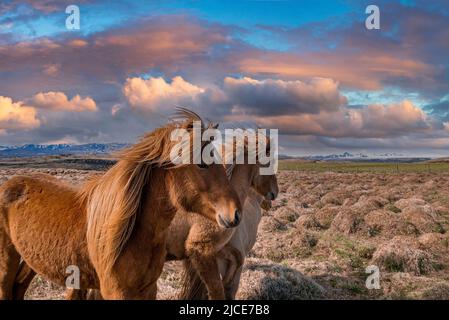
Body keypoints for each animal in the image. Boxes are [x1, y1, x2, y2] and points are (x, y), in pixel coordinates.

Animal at [0, 110, 242, 300]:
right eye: (201, 163)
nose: (235, 213)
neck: (133, 234)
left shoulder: (148, 289)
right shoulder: (116, 292)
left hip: (31, 260)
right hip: (7, 259)